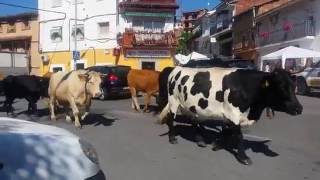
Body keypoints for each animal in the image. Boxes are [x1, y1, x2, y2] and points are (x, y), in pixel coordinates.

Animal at [159, 66, 304, 165]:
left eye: (294, 86)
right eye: (281, 87)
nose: (299, 108)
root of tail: (176, 68)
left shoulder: (229, 115)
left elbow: (226, 131)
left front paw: (217, 144)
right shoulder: (233, 113)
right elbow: (239, 135)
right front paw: (244, 157)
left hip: (191, 106)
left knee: (194, 120)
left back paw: (200, 140)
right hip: (173, 101)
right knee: (171, 119)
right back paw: (172, 138)